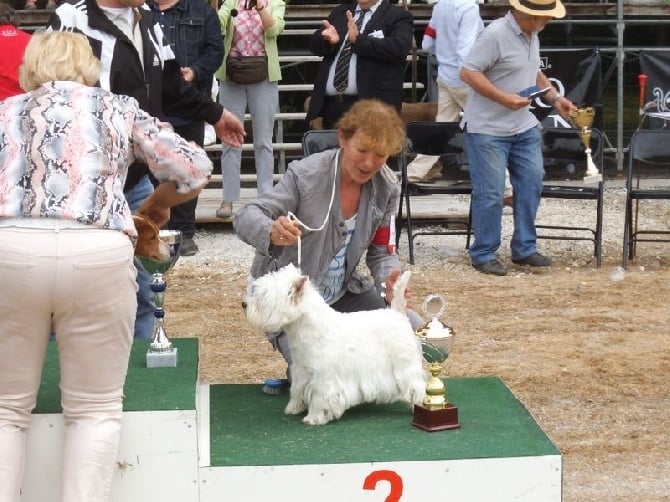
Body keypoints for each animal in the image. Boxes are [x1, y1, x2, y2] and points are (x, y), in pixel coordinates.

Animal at [244, 264, 428, 426]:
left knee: (417, 385)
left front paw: (314, 418)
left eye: (263, 297)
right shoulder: (301, 370)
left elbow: (319, 398)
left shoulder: (323, 378)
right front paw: (294, 408)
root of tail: (398, 313)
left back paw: (420, 405)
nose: (244, 304)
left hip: (405, 364)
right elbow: (297, 389)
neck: (305, 329)